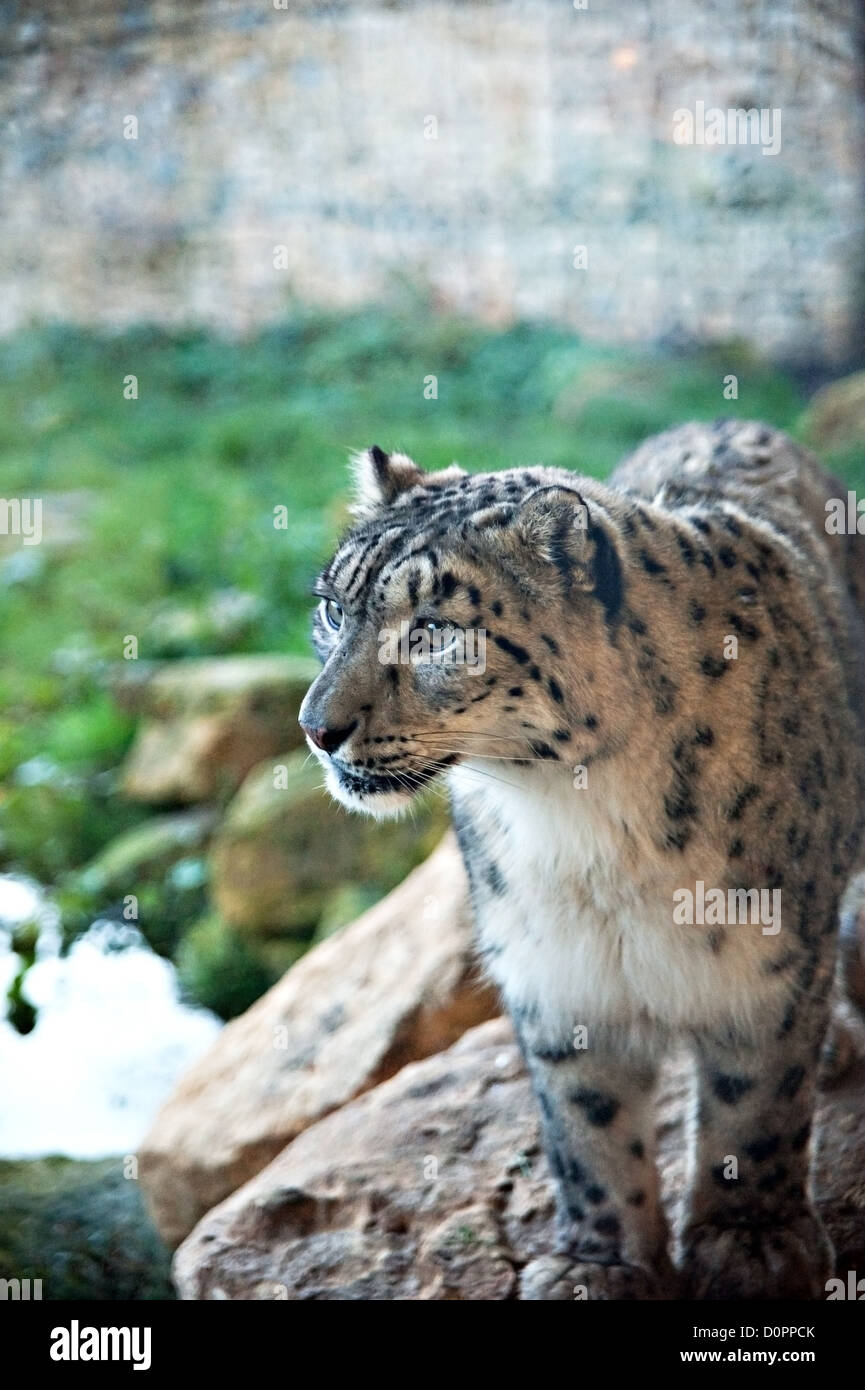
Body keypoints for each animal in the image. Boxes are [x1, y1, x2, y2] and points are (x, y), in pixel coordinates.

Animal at [298, 421, 865, 1300]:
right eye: (331, 608)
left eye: (432, 631)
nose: (315, 727)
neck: (579, 828)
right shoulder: (554, 973)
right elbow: (586, 1127)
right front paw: (595, 1263)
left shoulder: (762, 967)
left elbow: (755, 1106)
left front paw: (750, 1243)